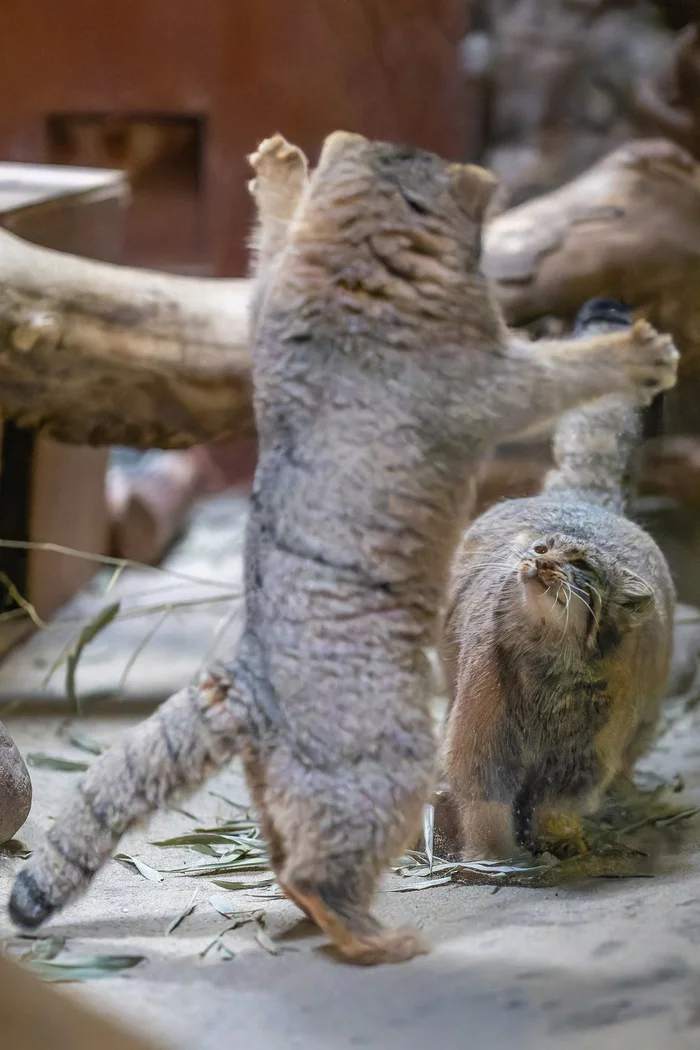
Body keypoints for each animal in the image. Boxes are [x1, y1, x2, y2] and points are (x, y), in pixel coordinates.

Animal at [440, 298, 675, 860]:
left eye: (583, 566)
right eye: (541, 547)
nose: (541, 563)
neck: (552, 666)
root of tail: (584, 498)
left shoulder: (587, 753)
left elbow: (557, 806)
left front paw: (562, 842)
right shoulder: (481, 744)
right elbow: (485, 808)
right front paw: (495, 863)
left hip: (641, 721)